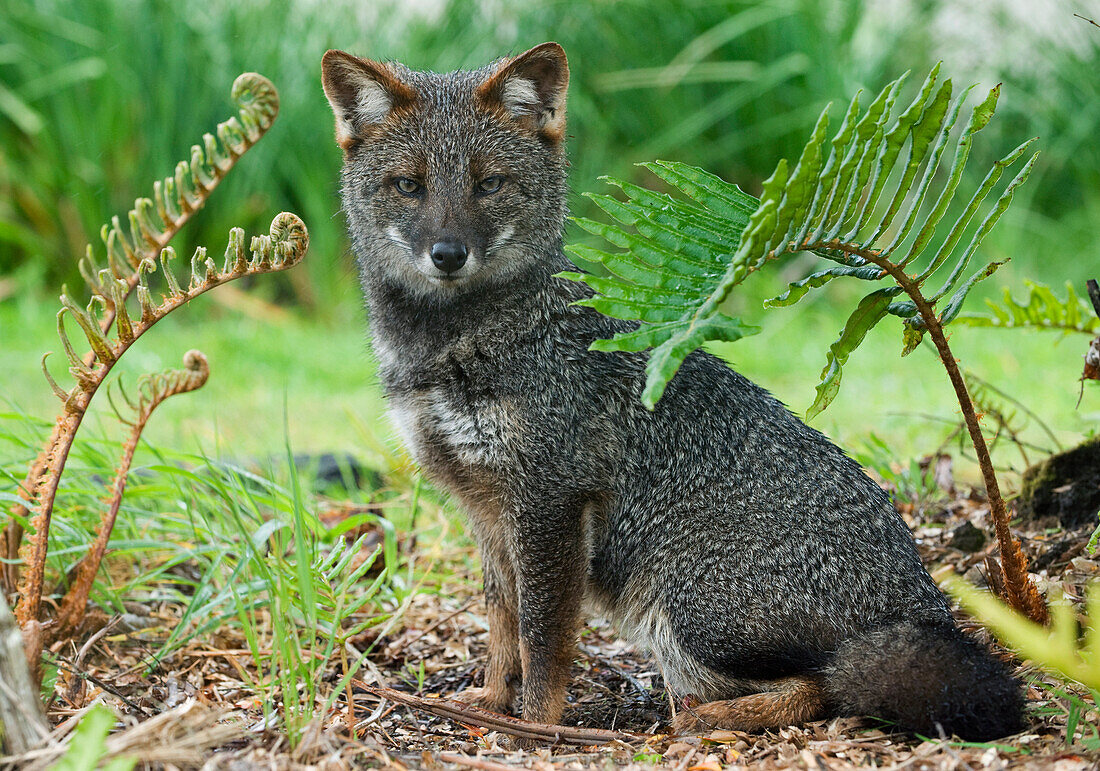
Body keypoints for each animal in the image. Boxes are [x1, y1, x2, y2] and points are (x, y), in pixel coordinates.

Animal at [319, 40, 1020, 739]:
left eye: (488, 184)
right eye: (409, 185)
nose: (448, 253)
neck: (447, 349)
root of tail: (923, 603)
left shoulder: (551, 501)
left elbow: (543, 641)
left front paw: (540, 728)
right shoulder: (485, 509)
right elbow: (502, 624)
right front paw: (492, 705)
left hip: (682, 609)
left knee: (821, 687)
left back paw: (705, 719)